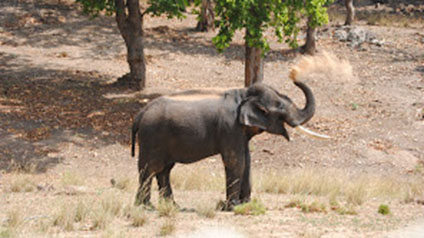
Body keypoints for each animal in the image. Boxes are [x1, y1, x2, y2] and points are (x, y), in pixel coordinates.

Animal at [132, 77, 314, 209]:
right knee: (149, 169)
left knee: (164, 170)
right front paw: (231, 207)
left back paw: (172, 207)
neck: (244, 93)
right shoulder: (230, 127)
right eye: (281, 108)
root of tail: (141, 113)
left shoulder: (239, 131)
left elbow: (247, 161)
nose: (294, 78)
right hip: (152, 136)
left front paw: (244, 204)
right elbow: (236, 161)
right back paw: (145, 207)